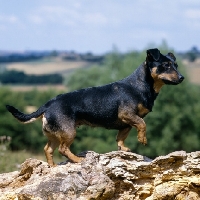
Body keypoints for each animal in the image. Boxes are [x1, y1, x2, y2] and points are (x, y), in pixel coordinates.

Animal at [5, 48, 184, 166]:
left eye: (175, 65)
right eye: (166, 65)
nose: (182, 77)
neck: (140, 85)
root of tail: (48, 105)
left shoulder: (125, 124)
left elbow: (121, 138)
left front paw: (124, 149)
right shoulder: (128, 115)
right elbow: (142, 124)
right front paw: (142, 139)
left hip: (55, 134)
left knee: (48, 149)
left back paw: (53, 167)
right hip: (69, 132)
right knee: (63, 149)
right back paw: (77, 160)